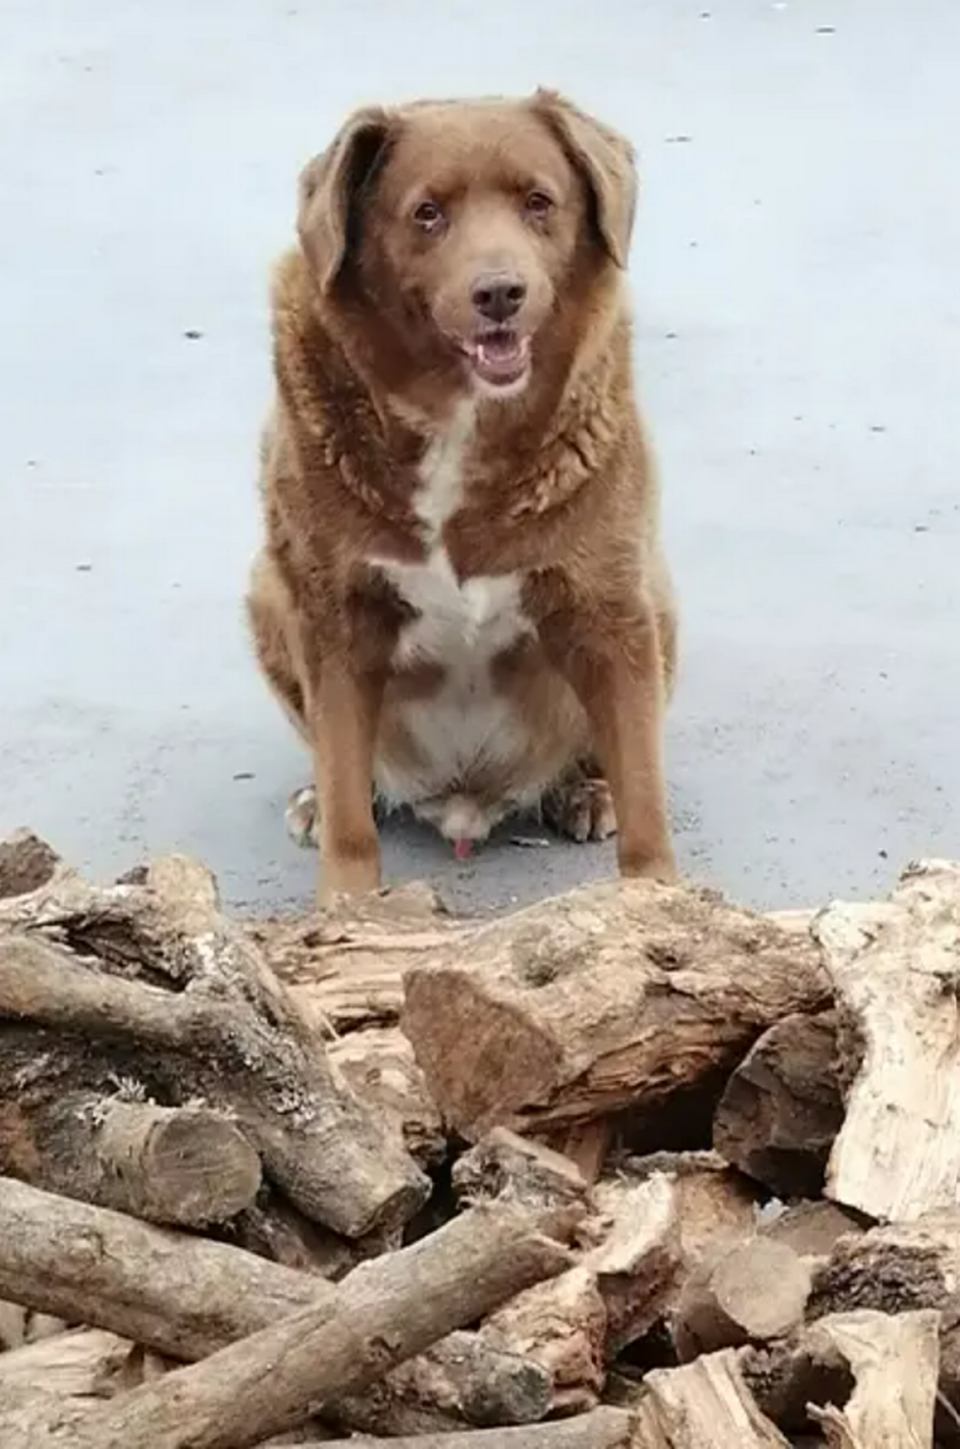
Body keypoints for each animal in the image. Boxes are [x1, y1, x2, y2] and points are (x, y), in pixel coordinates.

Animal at [249, 90, 683, 898]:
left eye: (539, 201)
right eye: (427, 213)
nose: (500, 293)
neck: (459, 419)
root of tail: (465, 800)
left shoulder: (610, 608)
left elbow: (646, 792)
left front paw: (659, 898)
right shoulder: (334, 617)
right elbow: (348, 798)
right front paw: (347, 904)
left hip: (660, 602)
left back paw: (585, 791)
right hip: (267, 588)